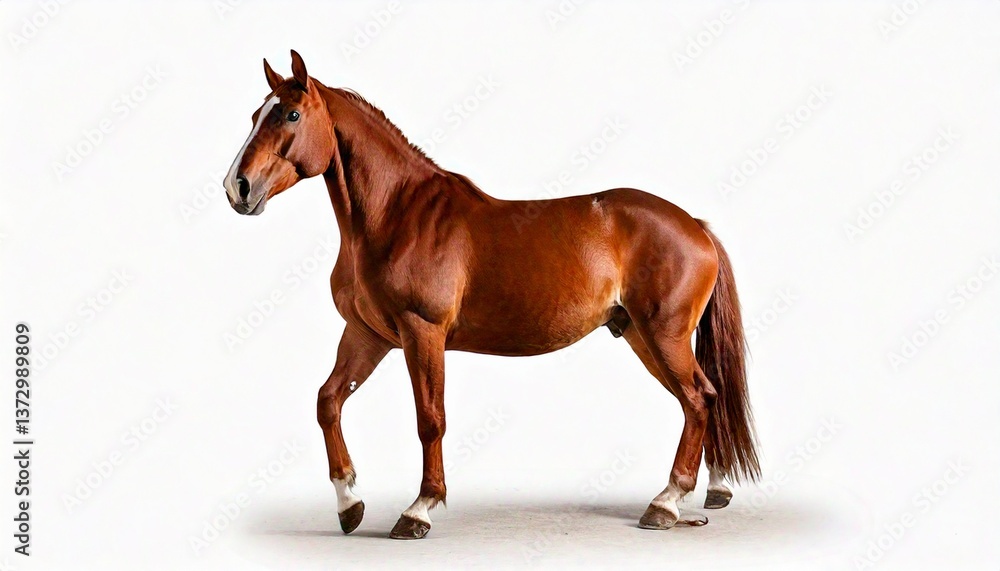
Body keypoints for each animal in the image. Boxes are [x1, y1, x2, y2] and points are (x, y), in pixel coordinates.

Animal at [223, 50, 760, 540]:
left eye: (291, 114)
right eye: (254, 116)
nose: (237, 188)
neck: (395, 214)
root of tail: (696, 227)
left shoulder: (422, 333)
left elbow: (430, 420)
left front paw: (419, 510)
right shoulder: (369, 334)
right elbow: (328, 401)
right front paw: (349, 504)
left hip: (663, 334)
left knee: (697, 398)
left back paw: (666, 503)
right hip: (639, 334)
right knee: (703, 398)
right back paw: (705, 492)